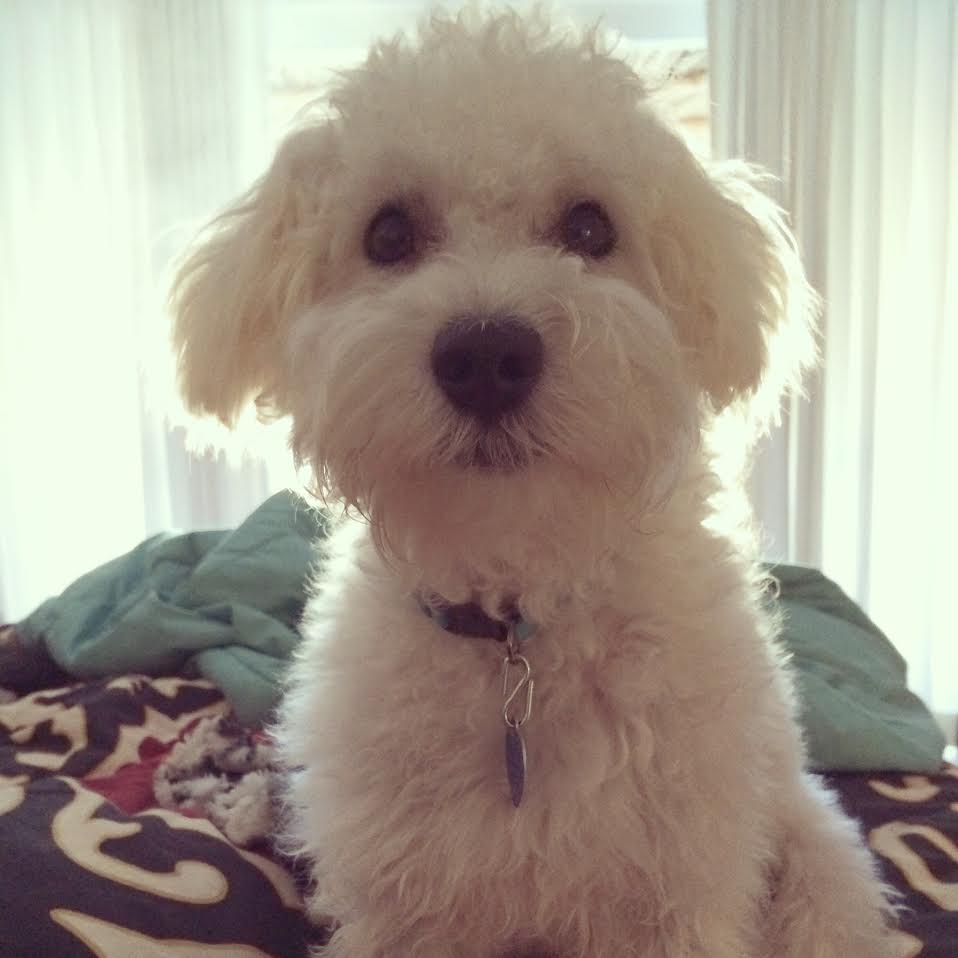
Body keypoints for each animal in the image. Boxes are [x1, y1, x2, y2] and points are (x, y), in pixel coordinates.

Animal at [172, 9, 900, 958]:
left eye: (590, 227)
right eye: (388, 234)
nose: (486, 356)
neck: (521, 623)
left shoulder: (678, 902)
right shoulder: (405, 911)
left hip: (819, 864)